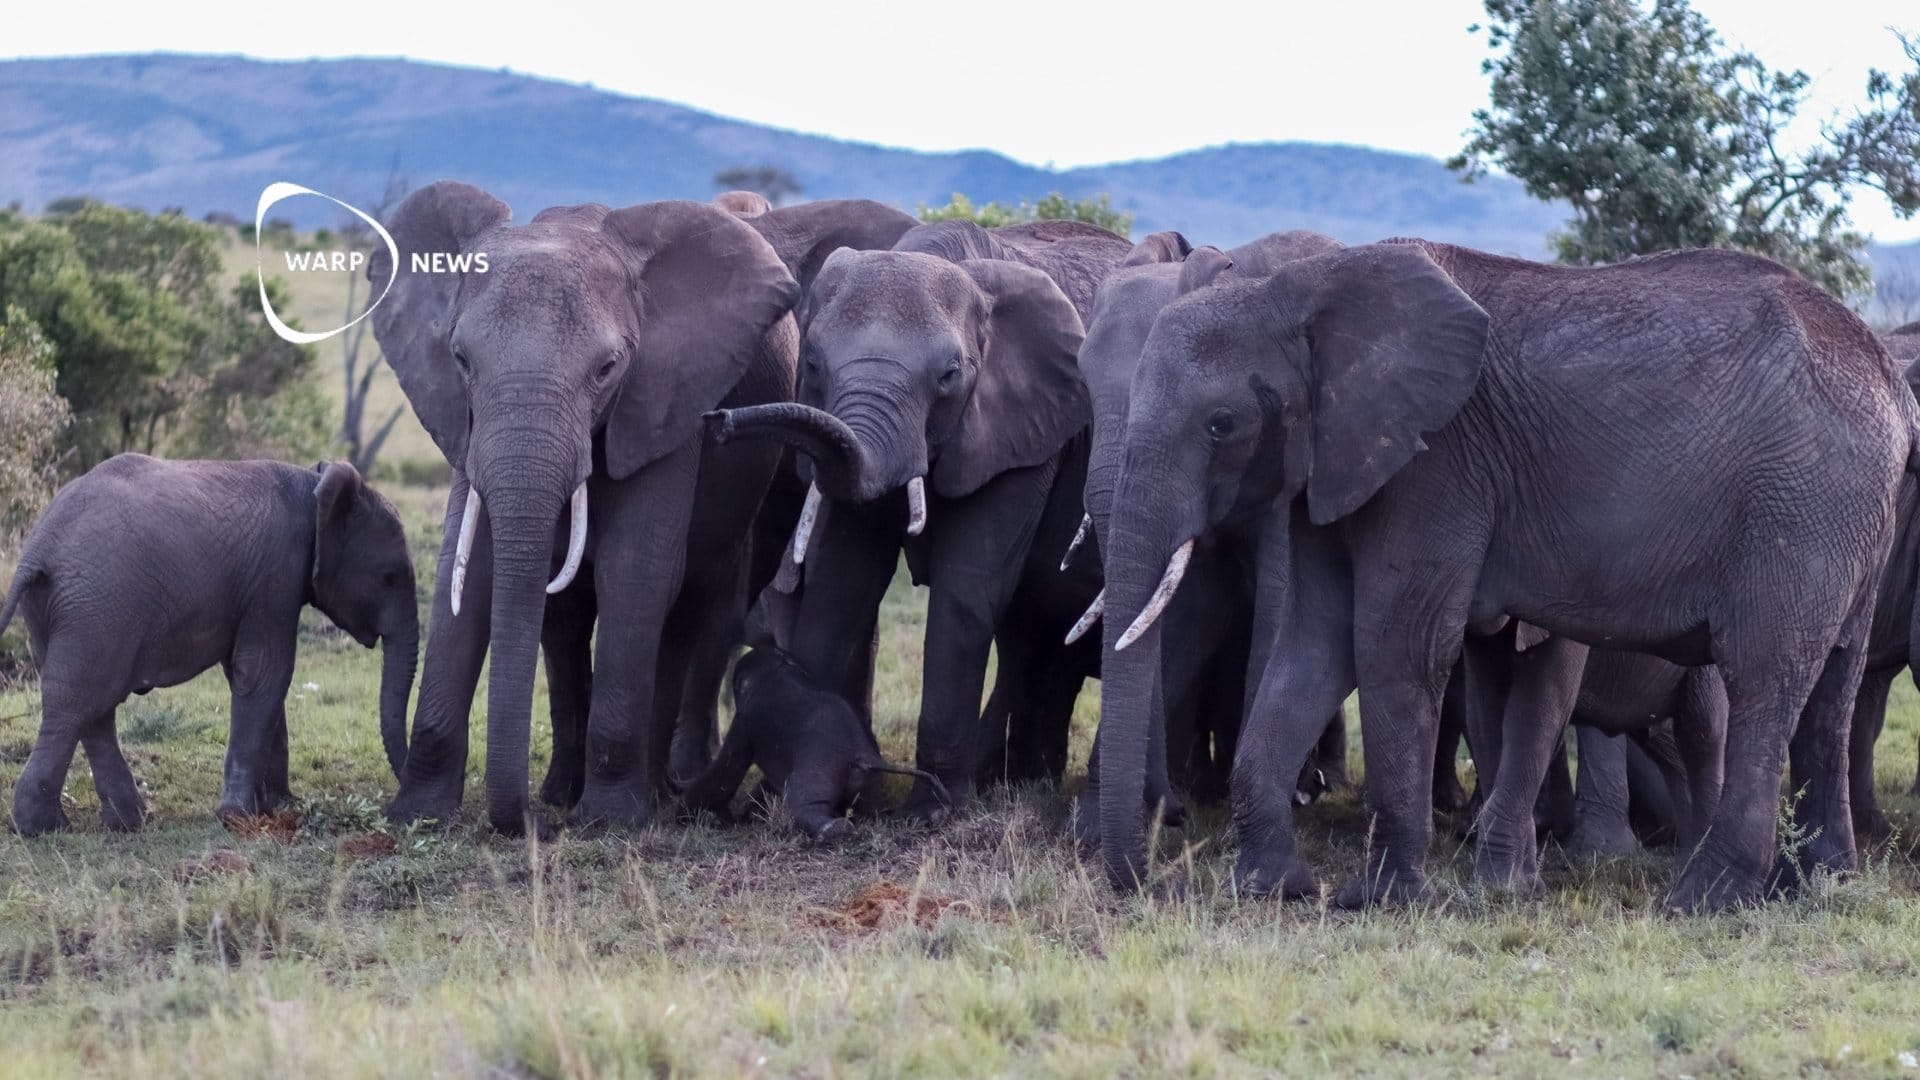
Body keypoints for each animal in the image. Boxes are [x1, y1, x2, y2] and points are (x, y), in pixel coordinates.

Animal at [2, 456, 417, 834]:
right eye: (389, 577)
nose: (396, 805)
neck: (313, 488)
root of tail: (38, 548)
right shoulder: (276, 572)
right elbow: (267, 674)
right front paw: (238, 818)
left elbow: (254, 678)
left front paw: (278, 806)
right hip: (99, 606)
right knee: (78, 702)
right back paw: (46, 828)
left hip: (64, 609)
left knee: (91, 706)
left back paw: (127, 823)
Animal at [369, 182, 804, 835]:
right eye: (461, 360)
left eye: (606, 370)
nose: (520, 825)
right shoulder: (467, 425)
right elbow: (464, 573)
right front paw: (416, 816)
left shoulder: (667, 398)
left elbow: (636, 571)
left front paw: (611, 822)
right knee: (565, 620)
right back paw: (559, 793)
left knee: (686, 610)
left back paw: (646, 794)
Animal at [681, 646, 948, 839]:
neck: (777, 668)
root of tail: (863, 756)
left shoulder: (744, 722)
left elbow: (725, 771)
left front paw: (685, 812)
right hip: (869, 783)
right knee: (872, 809)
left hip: (818, 770)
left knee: (803, 806)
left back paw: (833, 831)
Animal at [705, 217, 1130, 816]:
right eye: (811, 363)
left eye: (949, 376)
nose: (718, 421)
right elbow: (843, 580)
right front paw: (781, 793)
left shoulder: (1027, 433)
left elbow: (965, 587)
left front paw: (934, 813)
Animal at [1095, 240, 1916, 911]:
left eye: (1220, 425)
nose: (1152, 882)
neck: (1298, 291)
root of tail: (1889, 378)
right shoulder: (1330, 464)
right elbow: (1313, 646)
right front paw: (1272, 888)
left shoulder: (1436, 466)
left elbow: (1395, 646)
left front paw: (1381, 901)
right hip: (1850, 517)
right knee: (1833, 688)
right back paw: (1815, 886)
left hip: (1802, 507)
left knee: (1763, 678)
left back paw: (1702, 902)